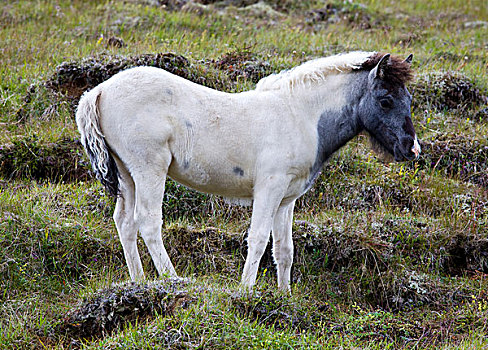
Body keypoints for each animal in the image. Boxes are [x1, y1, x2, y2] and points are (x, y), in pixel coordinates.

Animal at [75, 50, 420, 292]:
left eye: (409, 98)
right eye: (385, 100)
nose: (412, 149)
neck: (300, 114)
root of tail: (98, 92)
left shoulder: (286, 198)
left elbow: (284, 249)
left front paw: (284, 296)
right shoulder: (269, 188)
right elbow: (257, 238)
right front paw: (246, 292)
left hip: (127, 175)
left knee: (124, 223)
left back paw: (140, 283)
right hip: (149, 169)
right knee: (147, 222)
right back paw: (174, 281)